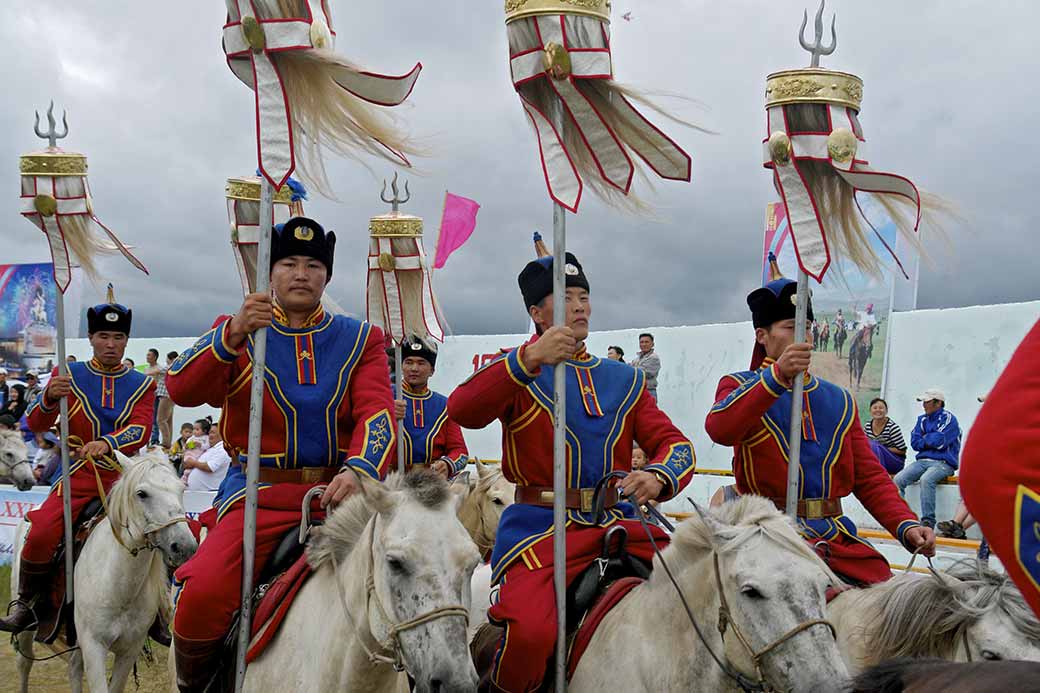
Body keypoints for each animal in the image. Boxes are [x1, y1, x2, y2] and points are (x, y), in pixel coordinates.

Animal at [13, 445, 196, 686]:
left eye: (181, 490)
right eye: (141, 494)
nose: (185, 547)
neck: (119, 585)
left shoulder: (129, 649)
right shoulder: (94, 646)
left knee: (74, 666)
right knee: (24, 662)